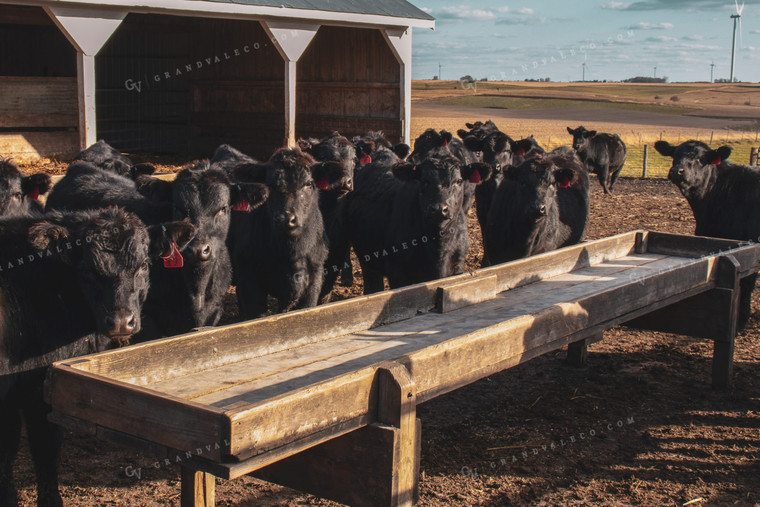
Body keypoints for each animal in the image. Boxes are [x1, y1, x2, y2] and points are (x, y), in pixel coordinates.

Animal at [0, 208, 194, 507]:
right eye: (88, 270)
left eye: (143, 265)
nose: (121, 322)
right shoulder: (37, 389)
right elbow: (45, 449)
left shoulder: (14, 397)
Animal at [46, 161, 256, 340]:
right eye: (178, 207)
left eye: (223, 208)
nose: (197, 249)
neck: (196, 292)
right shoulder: (147, 317)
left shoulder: (214, 312)